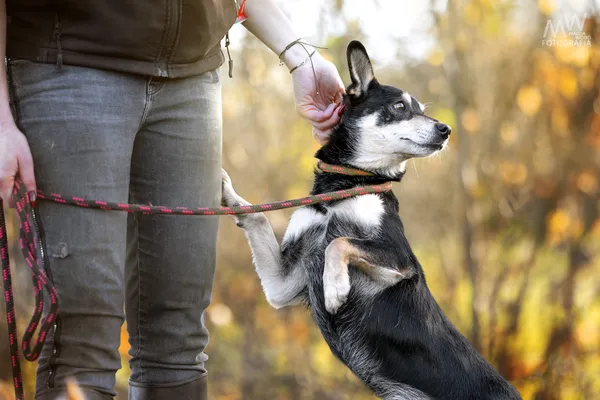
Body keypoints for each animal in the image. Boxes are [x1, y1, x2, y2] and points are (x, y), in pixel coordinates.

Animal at [220, 40, 520, 400]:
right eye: (400, 106)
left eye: (420, 109)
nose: (446, 129)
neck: (346, 188)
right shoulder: (281, 285)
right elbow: (259, 219)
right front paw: (229, 193)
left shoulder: (399, 259)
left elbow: (338, 242)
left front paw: (335, 288)